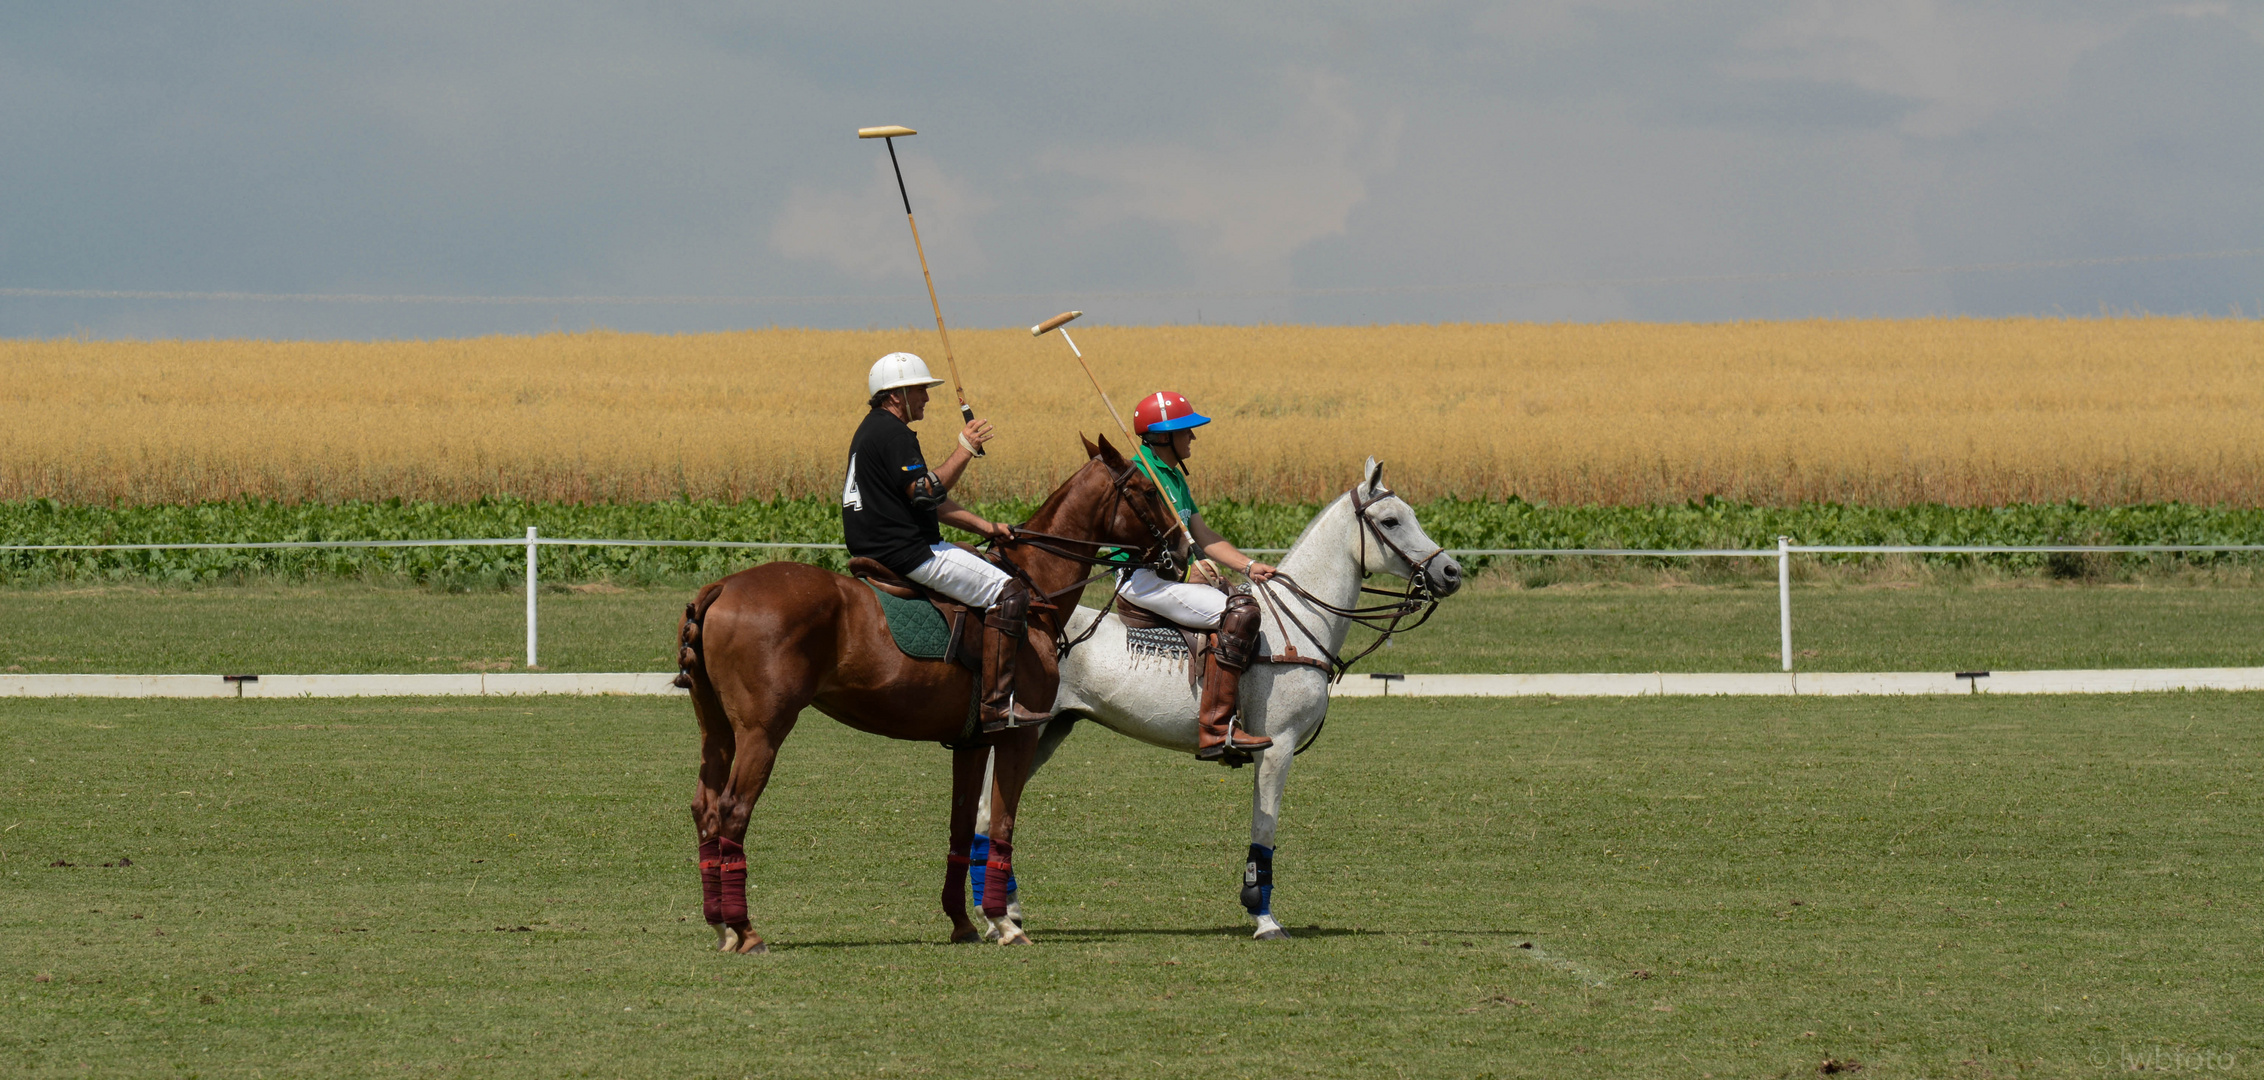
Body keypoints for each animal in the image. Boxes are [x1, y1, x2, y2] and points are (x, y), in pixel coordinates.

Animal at [674, 434, 1186, 946]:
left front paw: (963, 922)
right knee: (733, 809)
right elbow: (1002, 822)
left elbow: (962, 827)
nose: (1180, 552)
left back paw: (720, 923)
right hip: (763, 728)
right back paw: (745, 930)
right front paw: (1004, 922)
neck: (1037, 588)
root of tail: (719, 588)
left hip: (715, 727)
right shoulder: (1018, 732)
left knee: (704, 806)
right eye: (1147, 490)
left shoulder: (972, 741)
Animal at [973, 459, 1467, 937]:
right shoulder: (1277, 744)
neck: (1302, 620)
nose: (1451, 572)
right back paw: (996, 915)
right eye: (1391, 520)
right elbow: (1264, 829)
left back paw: (1005, 911)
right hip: (1027, 728)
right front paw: (1263, 917)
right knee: (988, 809)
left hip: (1049, 731)